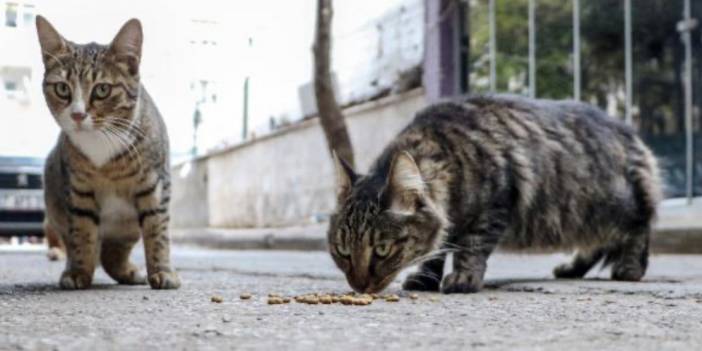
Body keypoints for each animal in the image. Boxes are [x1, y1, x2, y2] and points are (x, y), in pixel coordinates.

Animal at [36, 16, 180, 290]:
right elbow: (82, 233)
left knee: (113, 252)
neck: (100, 142)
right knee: (89, 247)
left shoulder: (155, 184)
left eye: (102, 90)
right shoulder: (78, 190)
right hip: (54, 198)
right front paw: (79, 272)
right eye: (62, 88)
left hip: (127, 226)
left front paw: (163, 271)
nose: (78, 114)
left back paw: (129, 272)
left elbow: (157, 229)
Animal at [328, 95, 664, 294]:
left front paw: (463, 278)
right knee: (597, 244)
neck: (448, 156)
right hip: (584, 216)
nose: (359, 287)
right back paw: (570, 268)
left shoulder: (495, 203)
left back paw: (629, 268)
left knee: (638, 227)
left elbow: (470, 248)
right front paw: (425, 278)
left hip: (610, 205)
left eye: (382, 250)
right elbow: (436, 251)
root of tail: (629, 132)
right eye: (343, 251)